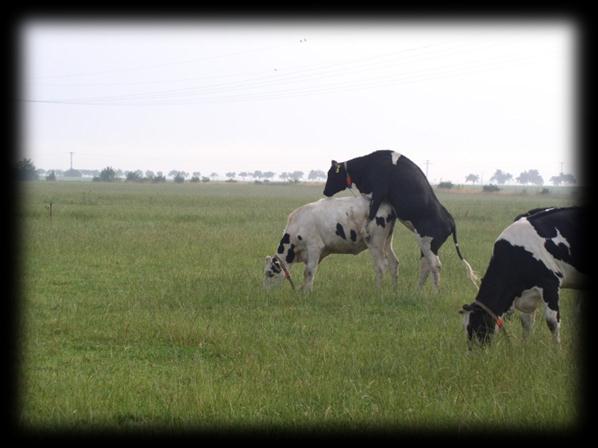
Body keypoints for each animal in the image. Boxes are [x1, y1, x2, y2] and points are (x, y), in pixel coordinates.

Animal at [264, 194, 400, 292]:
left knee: (381, 265)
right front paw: (303, 289)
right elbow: (307, 272)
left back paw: (377, 291)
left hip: (375, 242)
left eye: (269, 273)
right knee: (394, 262)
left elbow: (309, 271)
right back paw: (394, 290)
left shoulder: (314, 246)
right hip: (387, 241)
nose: (265, 292)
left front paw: (307, 292)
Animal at [324, 150, 478, 290]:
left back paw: (435, 293)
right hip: (427, 245)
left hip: (427, 242)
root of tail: (450, 220)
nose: (325, 192)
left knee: (435, 265)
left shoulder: (378, 191)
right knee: (426, 265)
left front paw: (364, 228)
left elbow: (372, 211)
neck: (369, 164)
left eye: (331, 174)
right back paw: (417, 292)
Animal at [462, 206, 588, 346]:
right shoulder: (527, 296)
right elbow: (526, 322)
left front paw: (556, 349)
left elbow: (552, 322)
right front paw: (525, 346)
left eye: (477, 326)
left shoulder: (550, 284)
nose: (472, 350)